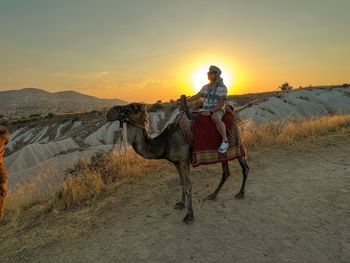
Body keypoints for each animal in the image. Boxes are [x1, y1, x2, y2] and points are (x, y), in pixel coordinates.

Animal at [106, 103, 249, 225]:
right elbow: (182, 183)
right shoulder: (176, 162)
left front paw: (189, 216)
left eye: (132, 107)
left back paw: (240, 193)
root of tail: (231, 110)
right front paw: (181, 204)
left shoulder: (184, 161)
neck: (165, 141)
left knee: (245, 167)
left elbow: (188, 186)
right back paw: (212, 195)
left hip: (237, 145)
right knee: (226, 172)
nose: (110, 112)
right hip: (224, 154)